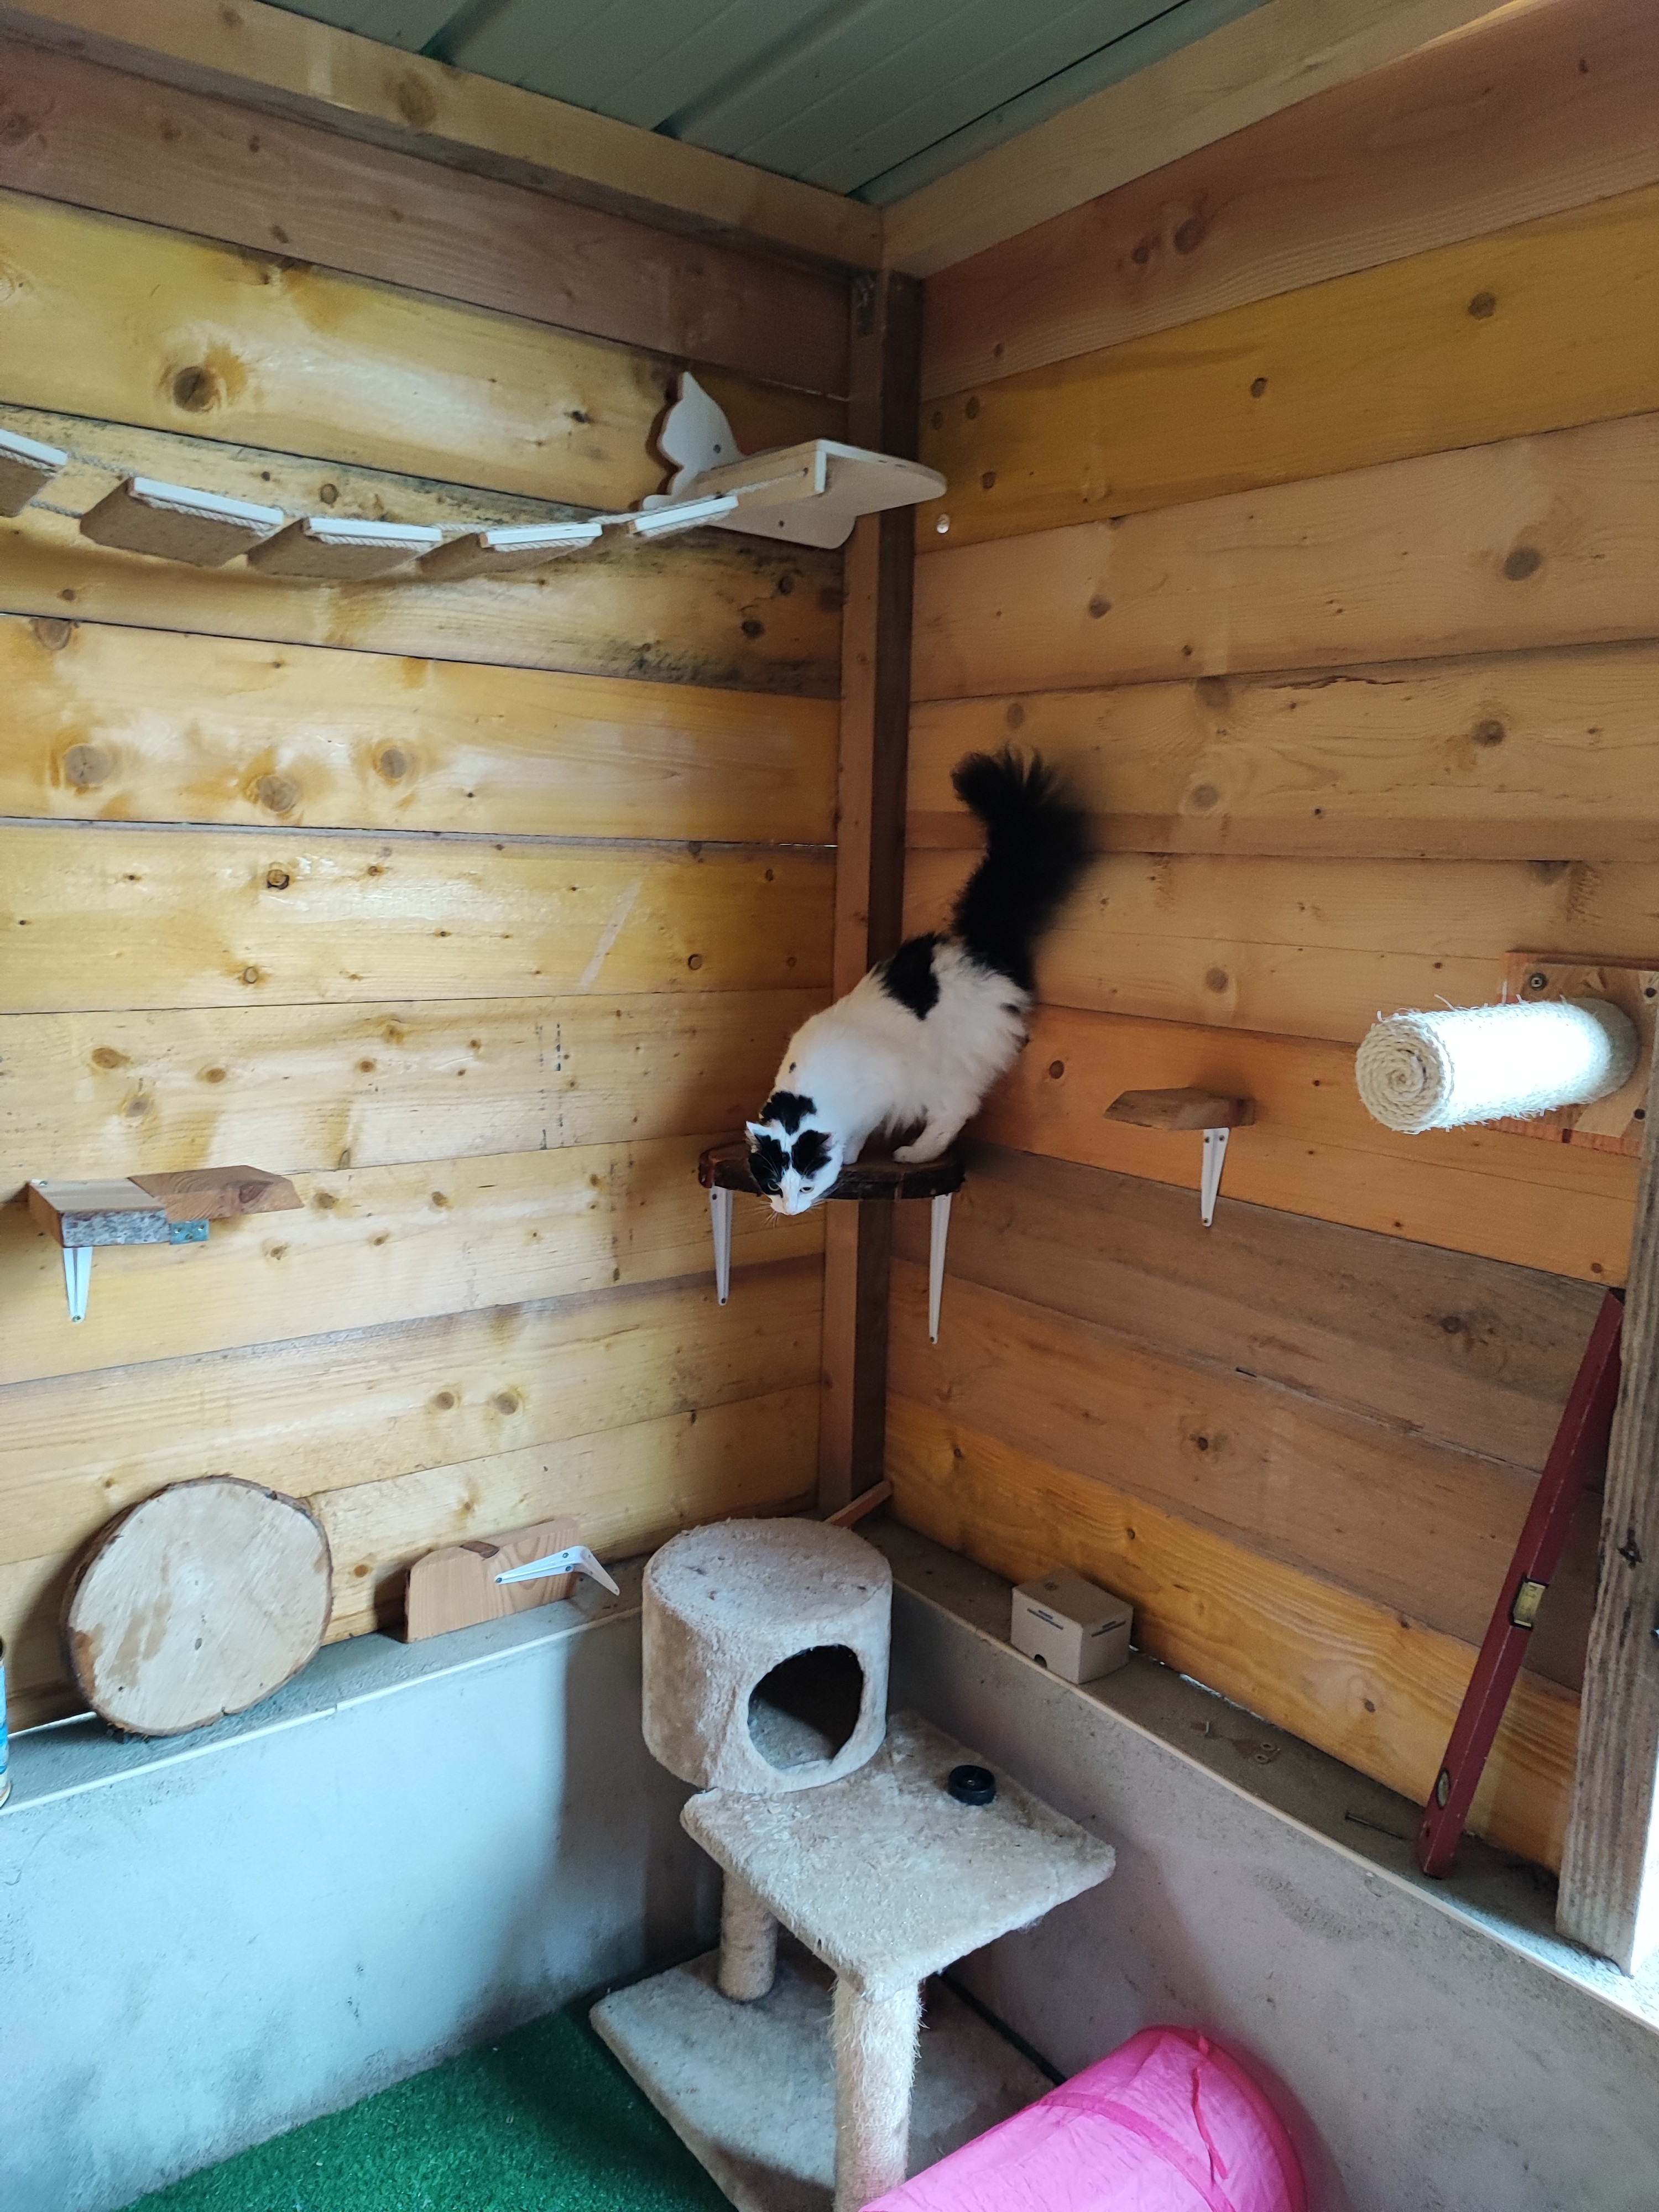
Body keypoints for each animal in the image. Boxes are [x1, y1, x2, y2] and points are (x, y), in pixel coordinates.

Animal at [746, 748, 1089, 1215]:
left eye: (807, 1187)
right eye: (772, 1185)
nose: (790, 1210)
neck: (807, 1092)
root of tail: (978, 945)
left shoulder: (884, 1089)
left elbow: (859, 1130)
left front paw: (851, 1154)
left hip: (943, 1069)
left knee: (957, 1110)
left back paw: (916, 1153)